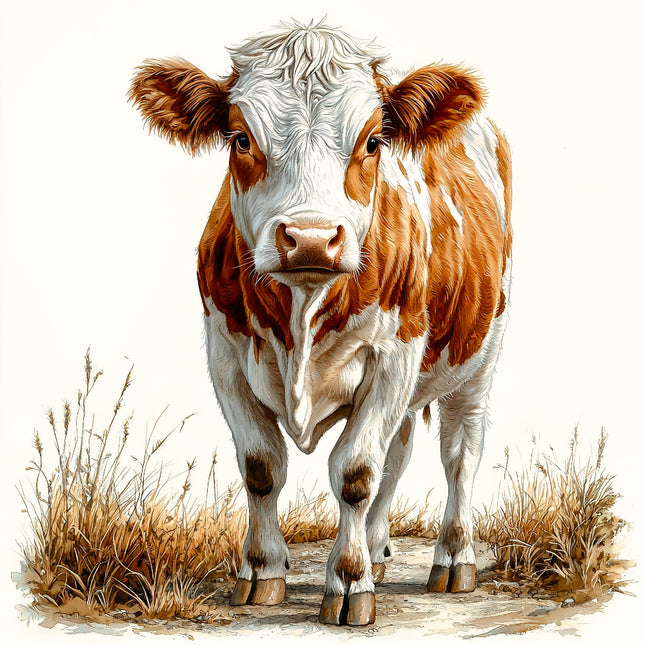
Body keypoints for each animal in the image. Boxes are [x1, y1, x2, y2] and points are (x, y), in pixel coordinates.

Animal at [129, 20, 512, 626]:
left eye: (373, 141)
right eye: (240, 138)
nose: (309, 238)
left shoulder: (394, 355)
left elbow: (354, 473)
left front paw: (350, 582)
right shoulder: (224, 354)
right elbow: (262, 465)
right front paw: (262, 571)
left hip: (480, 357)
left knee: (459, 455)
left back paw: (453, 560)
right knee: (399, 453)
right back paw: (378, 549)